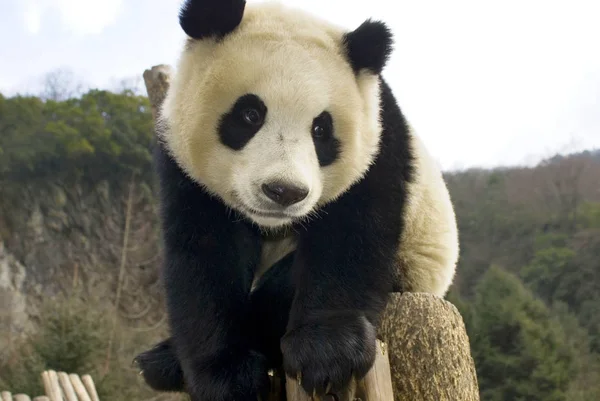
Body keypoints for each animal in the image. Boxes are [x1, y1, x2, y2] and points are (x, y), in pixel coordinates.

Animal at [135, 0, 460, 398]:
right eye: (250, 114)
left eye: (321, 130)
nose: (284, 191)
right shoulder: (184, 167)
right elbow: (205, 254)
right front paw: (227, 376)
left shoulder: (379, 143)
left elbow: (349, 236)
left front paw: (325, 354)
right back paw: (161, 362)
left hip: (412, 266)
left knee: (281, 289)